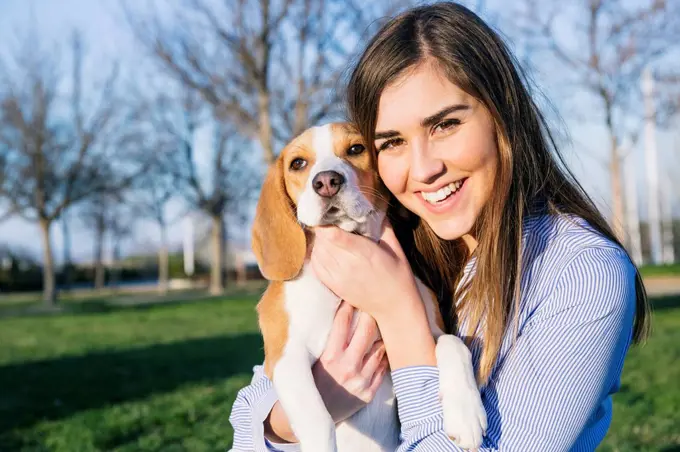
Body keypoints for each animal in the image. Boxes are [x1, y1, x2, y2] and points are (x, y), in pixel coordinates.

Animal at [252, 122, 486, 450]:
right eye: (297, 163)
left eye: (356, 149)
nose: (326, 182)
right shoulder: (286, 357)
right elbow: (319, 418)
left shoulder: (427, 330)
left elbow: (455, 344)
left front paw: (466, 414)